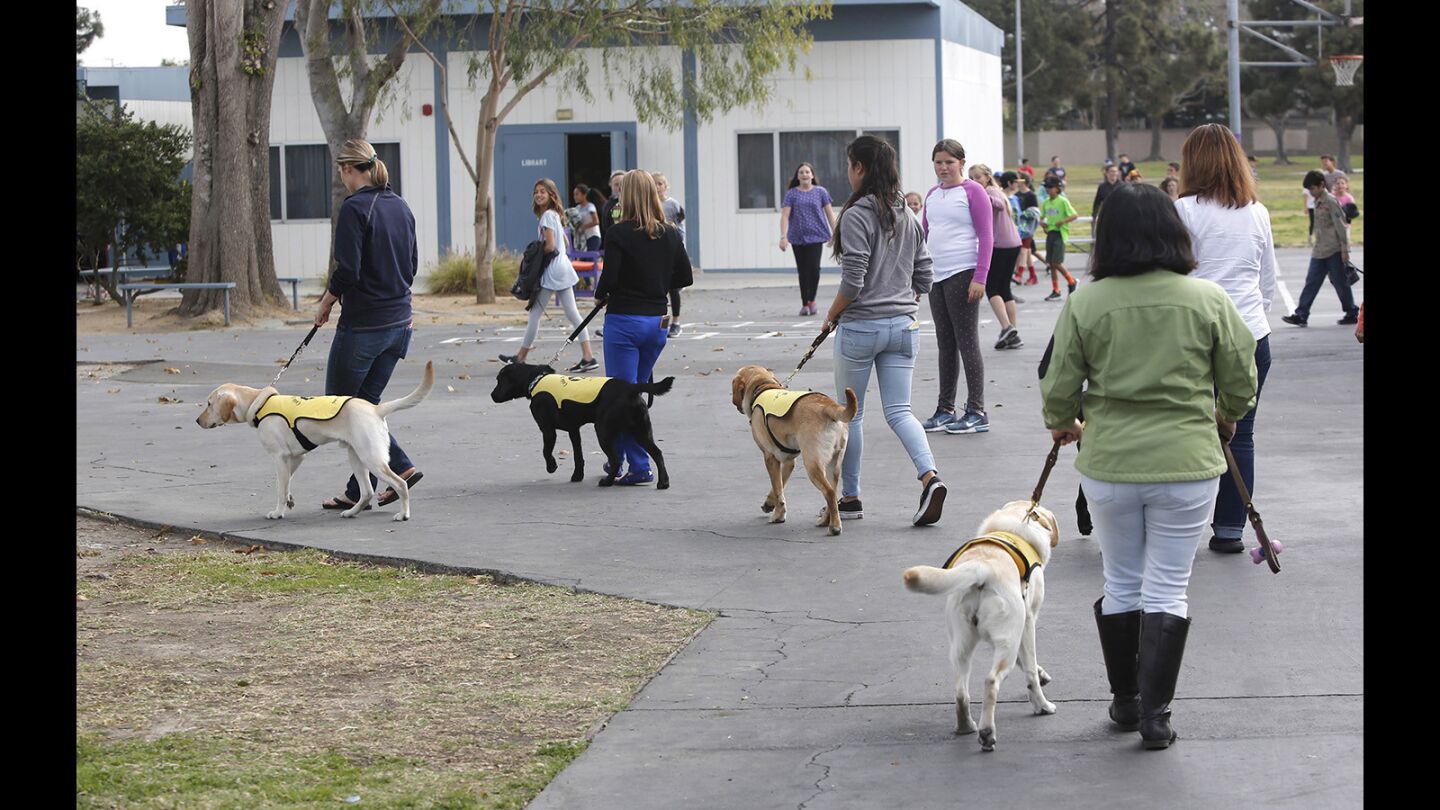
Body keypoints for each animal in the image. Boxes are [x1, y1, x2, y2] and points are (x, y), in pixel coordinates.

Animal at [197, 360, 432, 524]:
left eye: (209, 404)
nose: (197, 421)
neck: (259, 403)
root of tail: (375, 408)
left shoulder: (279, 457)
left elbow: (280, 488)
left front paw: (278, 512)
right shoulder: (296, 457)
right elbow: (286, 483)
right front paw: (289, 499)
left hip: (370, 457)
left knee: (400, 484)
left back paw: (403, 514)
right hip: (356, 457)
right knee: (367, 492)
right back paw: (350, 512)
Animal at [492, 363, 676, 490]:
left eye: (499, 380)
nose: (492, 395)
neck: (536, 381)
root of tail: (630, 388)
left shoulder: (548, 430)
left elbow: (546, 452)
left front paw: (552, 467)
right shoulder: (574, 430)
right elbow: (578, 456)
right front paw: (577, 476)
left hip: (603, 431)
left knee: (616, 460)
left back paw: (607, 482)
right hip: (640, 431)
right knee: (657, 453)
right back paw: (663, 482)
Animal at [731, 363, 852, 533]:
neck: (762, 387)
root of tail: (828, 406)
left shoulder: (770, 457)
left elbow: (778, 490)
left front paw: (778, 515)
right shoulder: (788, 461)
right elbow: (779, 484)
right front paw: (770, 503)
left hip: (812, 464)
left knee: (828, 492)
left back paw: (834, 526)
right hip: (833, 465)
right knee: (833, 493)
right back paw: (824, 520)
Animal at [904, 498, 1065, 749]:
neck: (1013, 525)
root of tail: (982, 567)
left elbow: (1026, 663)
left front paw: (1042, 674)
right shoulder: (1027, 622)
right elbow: (1029, 667)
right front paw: (1040, 696)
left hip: (961, 647)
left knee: (961, 692)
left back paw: (966, 726)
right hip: (1008, 639)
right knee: (991, 681)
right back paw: (989, 731)